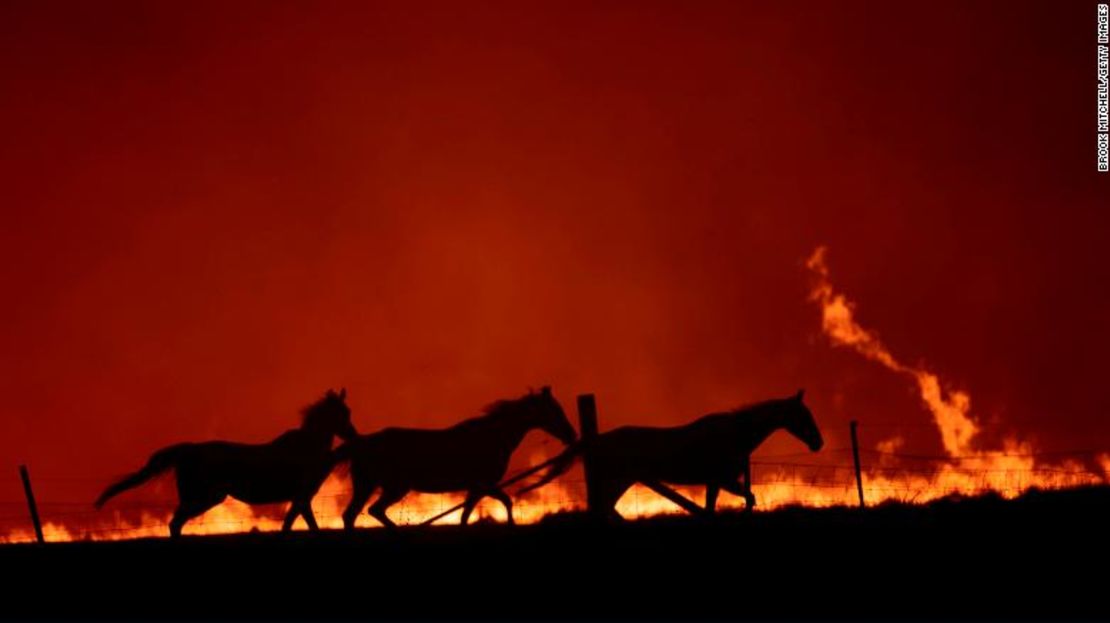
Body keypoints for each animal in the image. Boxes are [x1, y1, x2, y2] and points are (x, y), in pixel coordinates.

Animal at [95, 386, 357, 537]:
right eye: (342, 414)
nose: (354, 435)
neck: (308, 447)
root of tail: (188, 450)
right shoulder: (302, 497)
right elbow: (308, 526)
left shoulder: (300, 499)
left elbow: (291, 525)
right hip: (202, 496)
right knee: (175, 523)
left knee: (176, 523)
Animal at [333, 386, 577, 526]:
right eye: (554, 410)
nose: (571, 434)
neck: (492, 436)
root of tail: (362, 442)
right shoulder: (482, 485)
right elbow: (503, 503)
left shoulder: (477, 488)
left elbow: (467, 516)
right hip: (394, 487)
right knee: (372, 511)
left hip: (367, 486)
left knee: (351, 515)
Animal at [521, 388, 825, 515]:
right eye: (803, 415)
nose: (818, 443)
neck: (733, 433)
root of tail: (597, 439)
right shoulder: (723, 479)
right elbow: (747, 499)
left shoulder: (715, 482)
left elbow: (717, 507)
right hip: (618, 480)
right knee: (602, 509)